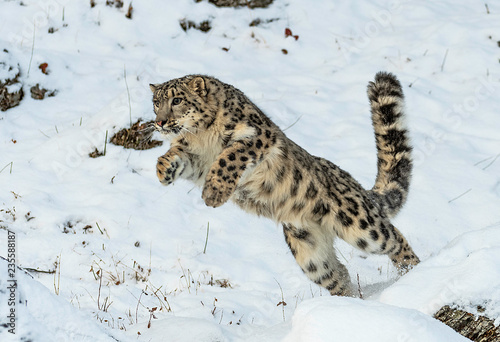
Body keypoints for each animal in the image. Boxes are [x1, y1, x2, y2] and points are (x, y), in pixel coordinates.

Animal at [150, 73, 420, 296]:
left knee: (394, 238)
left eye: (177, 100)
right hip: (310, 254)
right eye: (156, 103)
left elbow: (230, 156)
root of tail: (355, 185)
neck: (201, 136)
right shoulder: (194, 158)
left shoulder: (257, 136)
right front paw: (163, 170)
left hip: (361, 225)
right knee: (337, 275)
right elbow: (174, 155)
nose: (160, 122)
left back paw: (414, 274)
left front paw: (213, 193)